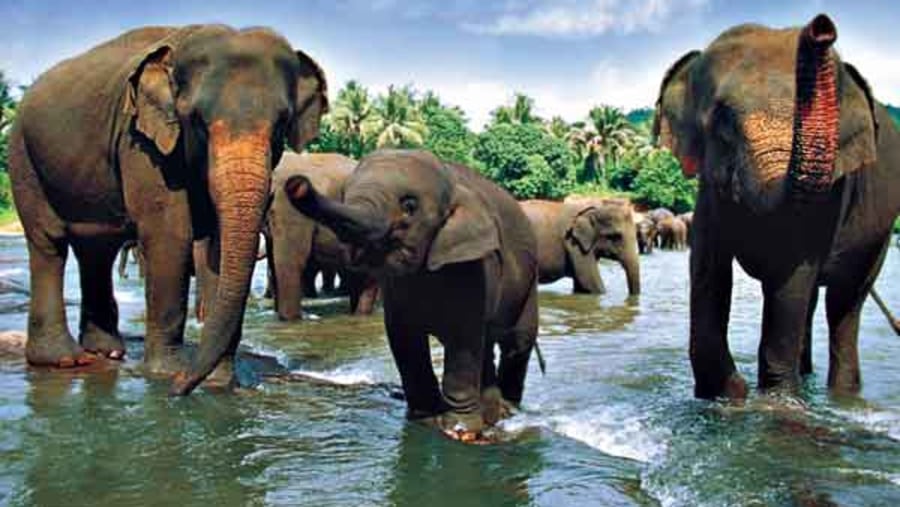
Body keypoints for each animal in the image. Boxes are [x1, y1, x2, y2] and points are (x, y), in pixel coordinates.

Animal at [5, 24, 328, 396]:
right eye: (198, 122)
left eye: (281, 124)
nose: (180, 389)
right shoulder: (143, 145)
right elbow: (169, 235)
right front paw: (166, 374)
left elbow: (217, 246)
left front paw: (220, 382)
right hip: (23, 156)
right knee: (49, 242)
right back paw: (64, 360)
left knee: (96, 250)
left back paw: (107, 352)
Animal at [284, 149, 536, 442]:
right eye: (344, 193)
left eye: (410, 205)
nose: (297, 184)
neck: (452, 180)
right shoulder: (398, 286)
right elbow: (404, 336)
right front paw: (424, 418)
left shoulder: (474, 267)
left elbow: (462, 337)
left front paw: (460, 431)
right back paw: (495, 415)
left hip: (528, 284)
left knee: (516, 344)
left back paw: (510, 413)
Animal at [652, 13, 900, 398]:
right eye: (723, 121)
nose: (821, 27)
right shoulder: (709, 188)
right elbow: (709, 267)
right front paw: (730, 394)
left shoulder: (835, 189)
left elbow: (791, 274)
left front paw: (775, 400)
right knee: (814, 303)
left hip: (882, 231)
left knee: (844, 303)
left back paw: (841, 395)